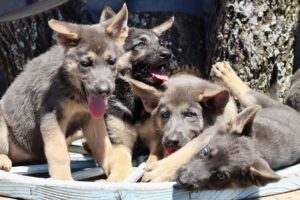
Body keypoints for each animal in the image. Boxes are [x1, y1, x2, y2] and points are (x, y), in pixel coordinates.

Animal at [0, 5, 128, 180]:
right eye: (85, 63)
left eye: (112, 61)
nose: (104, 91)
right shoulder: (51, 117)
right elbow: (58, 154)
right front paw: (64, 180)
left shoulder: (92, 120)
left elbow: (104, 147)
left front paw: (114, 168)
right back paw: (3, 160)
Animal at [94, 7, 176, 181]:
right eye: (141, 44)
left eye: (160, 43)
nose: (168, 54)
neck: (136, 101)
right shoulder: (120, 144)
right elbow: (121, 166)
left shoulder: (156, 141)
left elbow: (153, 159)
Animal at [176, 61, 300, 190]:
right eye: (205, 151)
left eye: (220, 176)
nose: (181, 180)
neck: (258, 144)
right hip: (257, 101)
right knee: (245, 91)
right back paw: (225, 73)